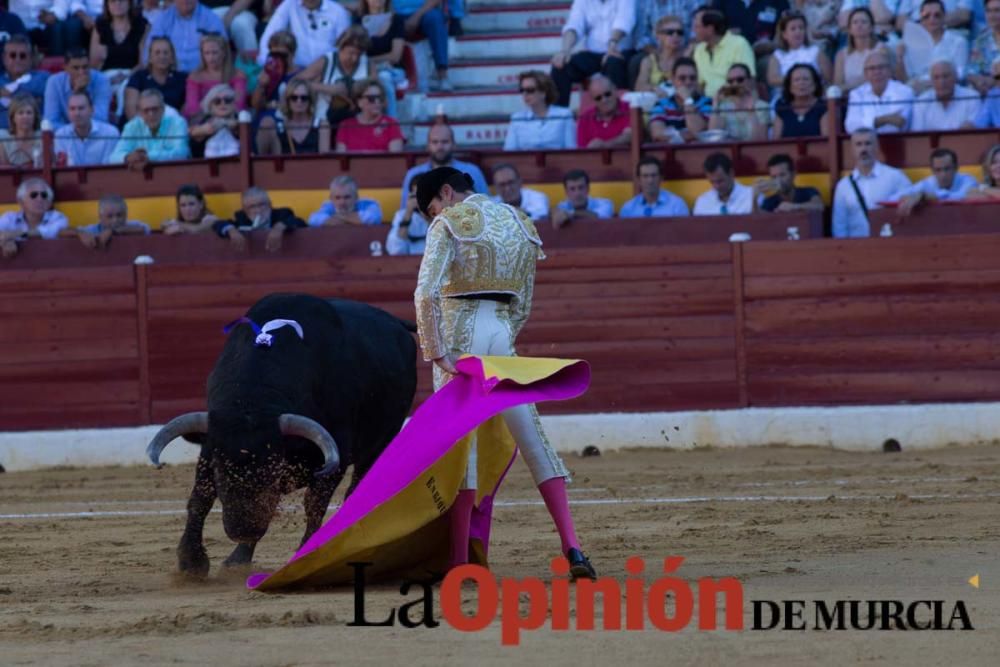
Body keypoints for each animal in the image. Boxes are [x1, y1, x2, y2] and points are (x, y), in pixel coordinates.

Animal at [146, 294, 418, 576]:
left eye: (273, 473)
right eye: (221, 473)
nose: (243, 530)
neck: (252, 400)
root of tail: (396, 322)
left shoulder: (337, 456)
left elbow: (314, 504)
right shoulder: (210, 447)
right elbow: (201, 496)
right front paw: (192, 561)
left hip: (379, 443)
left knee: (356, 488)